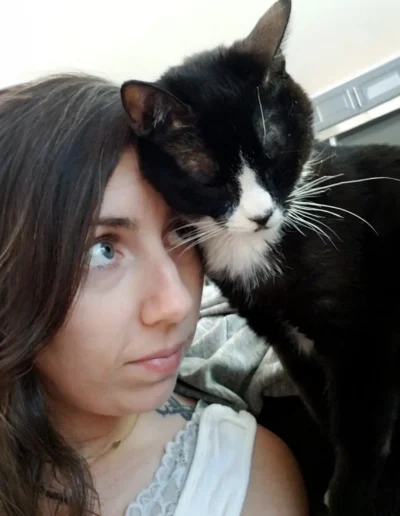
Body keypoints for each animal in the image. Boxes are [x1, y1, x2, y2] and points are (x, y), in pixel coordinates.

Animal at [120, 2, 400, 512]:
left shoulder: (367, 332)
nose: (261, 215)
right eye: (210, 179)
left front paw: (350, 495)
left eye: (276, 153)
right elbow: (322, 403)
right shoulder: (283, 338)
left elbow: (362, 418)